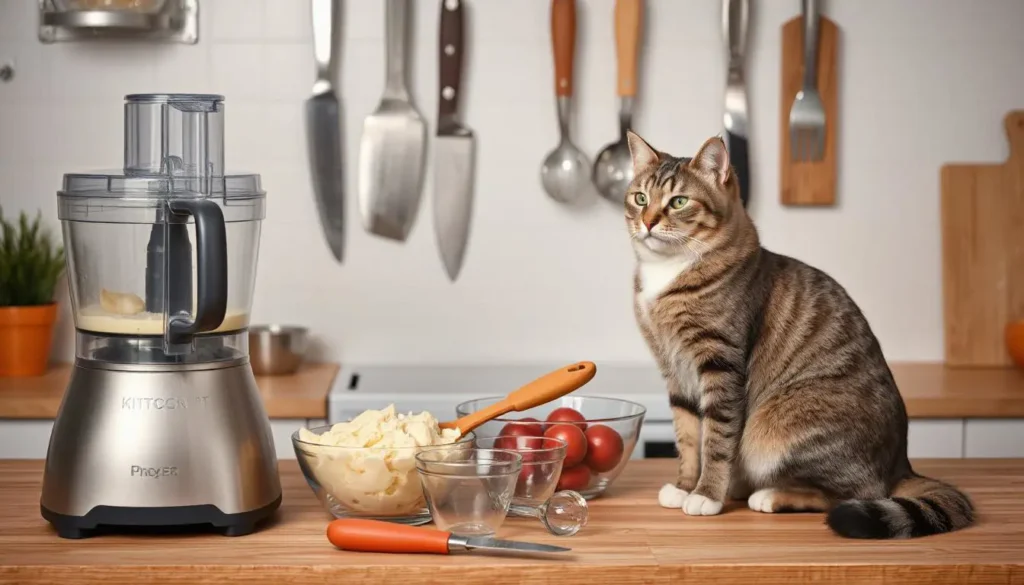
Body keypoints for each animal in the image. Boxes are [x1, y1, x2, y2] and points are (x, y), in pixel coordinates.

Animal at [622, 131, 974, 540]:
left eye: (678, 202)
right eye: (640, 198)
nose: (647, 222)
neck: (670, 271)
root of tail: (901, 463)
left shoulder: (721, 363)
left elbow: (715, 440)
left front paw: (706, 494)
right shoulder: (674, 369)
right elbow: (688, 436)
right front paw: (683, 486)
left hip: (776, 429)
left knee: (852, 493)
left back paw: (768, 495)